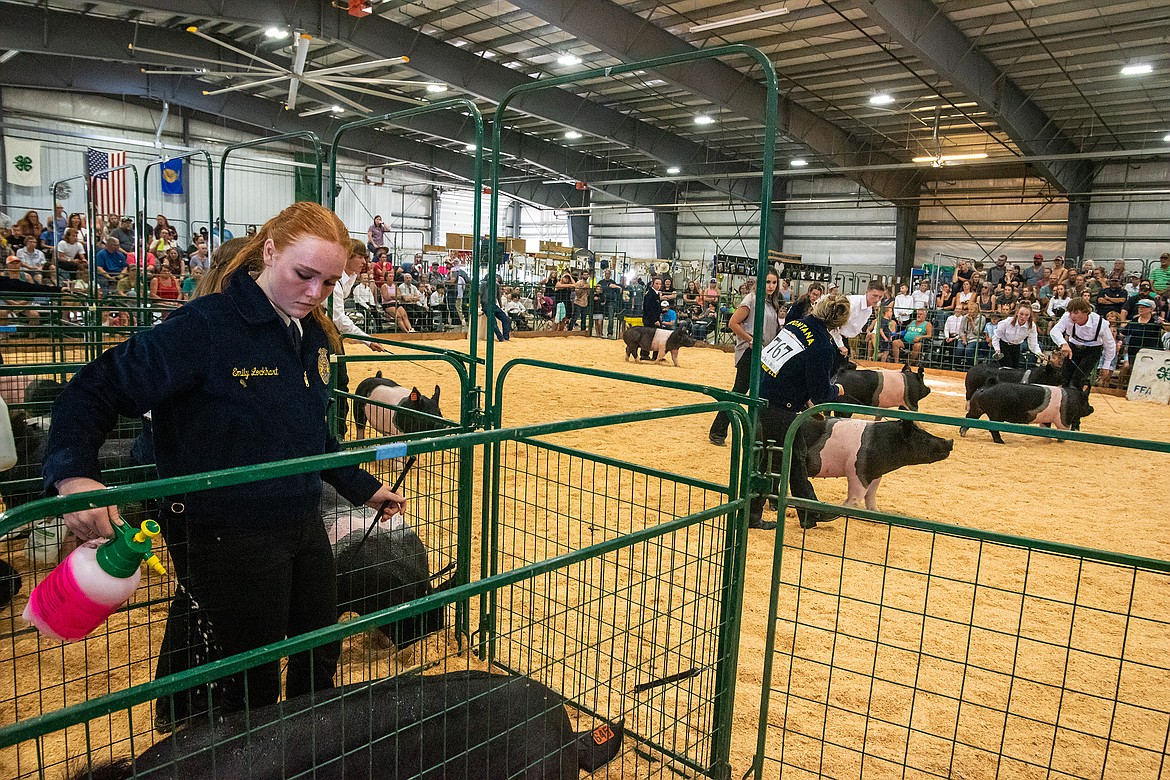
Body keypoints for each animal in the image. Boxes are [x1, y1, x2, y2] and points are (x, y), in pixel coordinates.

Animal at [804, 418, 959, 509]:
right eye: (923, 437)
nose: (950, 441)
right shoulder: (859, 471)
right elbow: (855, 498)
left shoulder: (876, 474)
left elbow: (871, 497)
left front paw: (876, 511)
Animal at [959, 378, 1095, 442]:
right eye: (1085, 401)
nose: (1092, 408)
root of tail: (988, 385)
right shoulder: (1063, 418)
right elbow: (1063, 429)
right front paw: (1062, 441)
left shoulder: (1047, 419)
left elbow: (1046, 428)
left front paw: (1047, 440)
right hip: (996, 415)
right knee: (993, 428)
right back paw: (1001, 442)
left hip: (976, 407)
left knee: (968, 417)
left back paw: (962, 433)